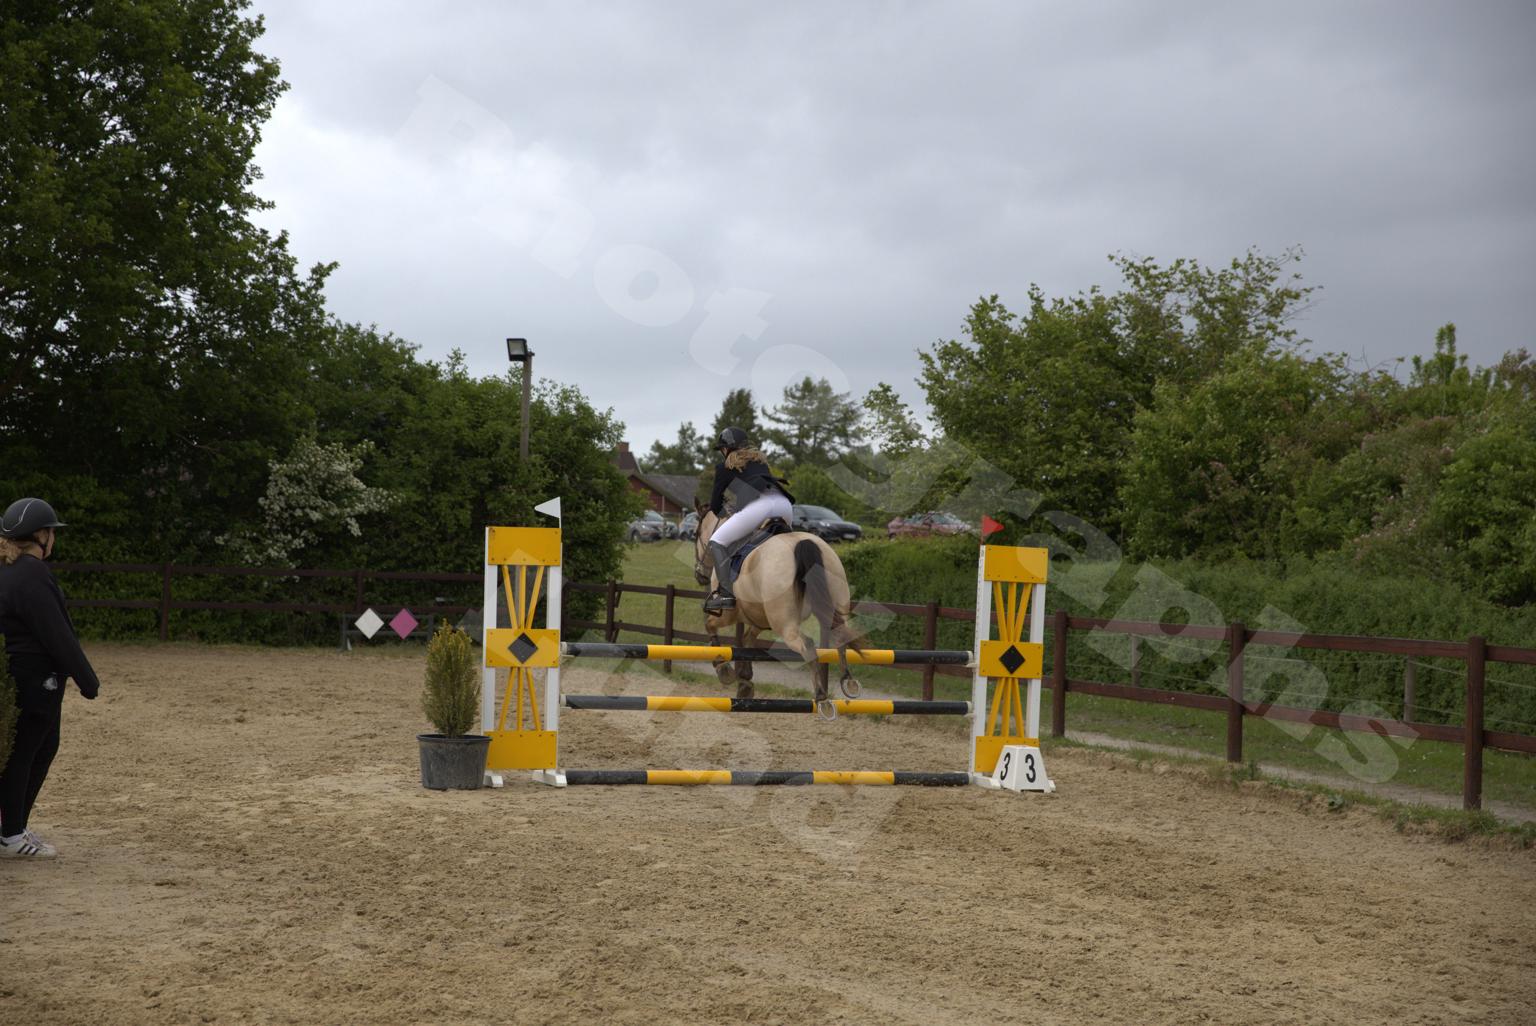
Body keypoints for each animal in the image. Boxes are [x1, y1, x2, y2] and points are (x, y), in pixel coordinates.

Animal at [692, 506, 867, 718]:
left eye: (696, 534)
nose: (699, 574)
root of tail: (804, 543)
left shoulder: (730, 614)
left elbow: (710, 626)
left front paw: (723, 669)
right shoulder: (758, 618)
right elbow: (748, 641)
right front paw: (745, 682)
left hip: (784, 624)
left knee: (807, 645)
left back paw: (822, 697)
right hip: (836, 604)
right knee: (841, 635)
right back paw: (848, 681)